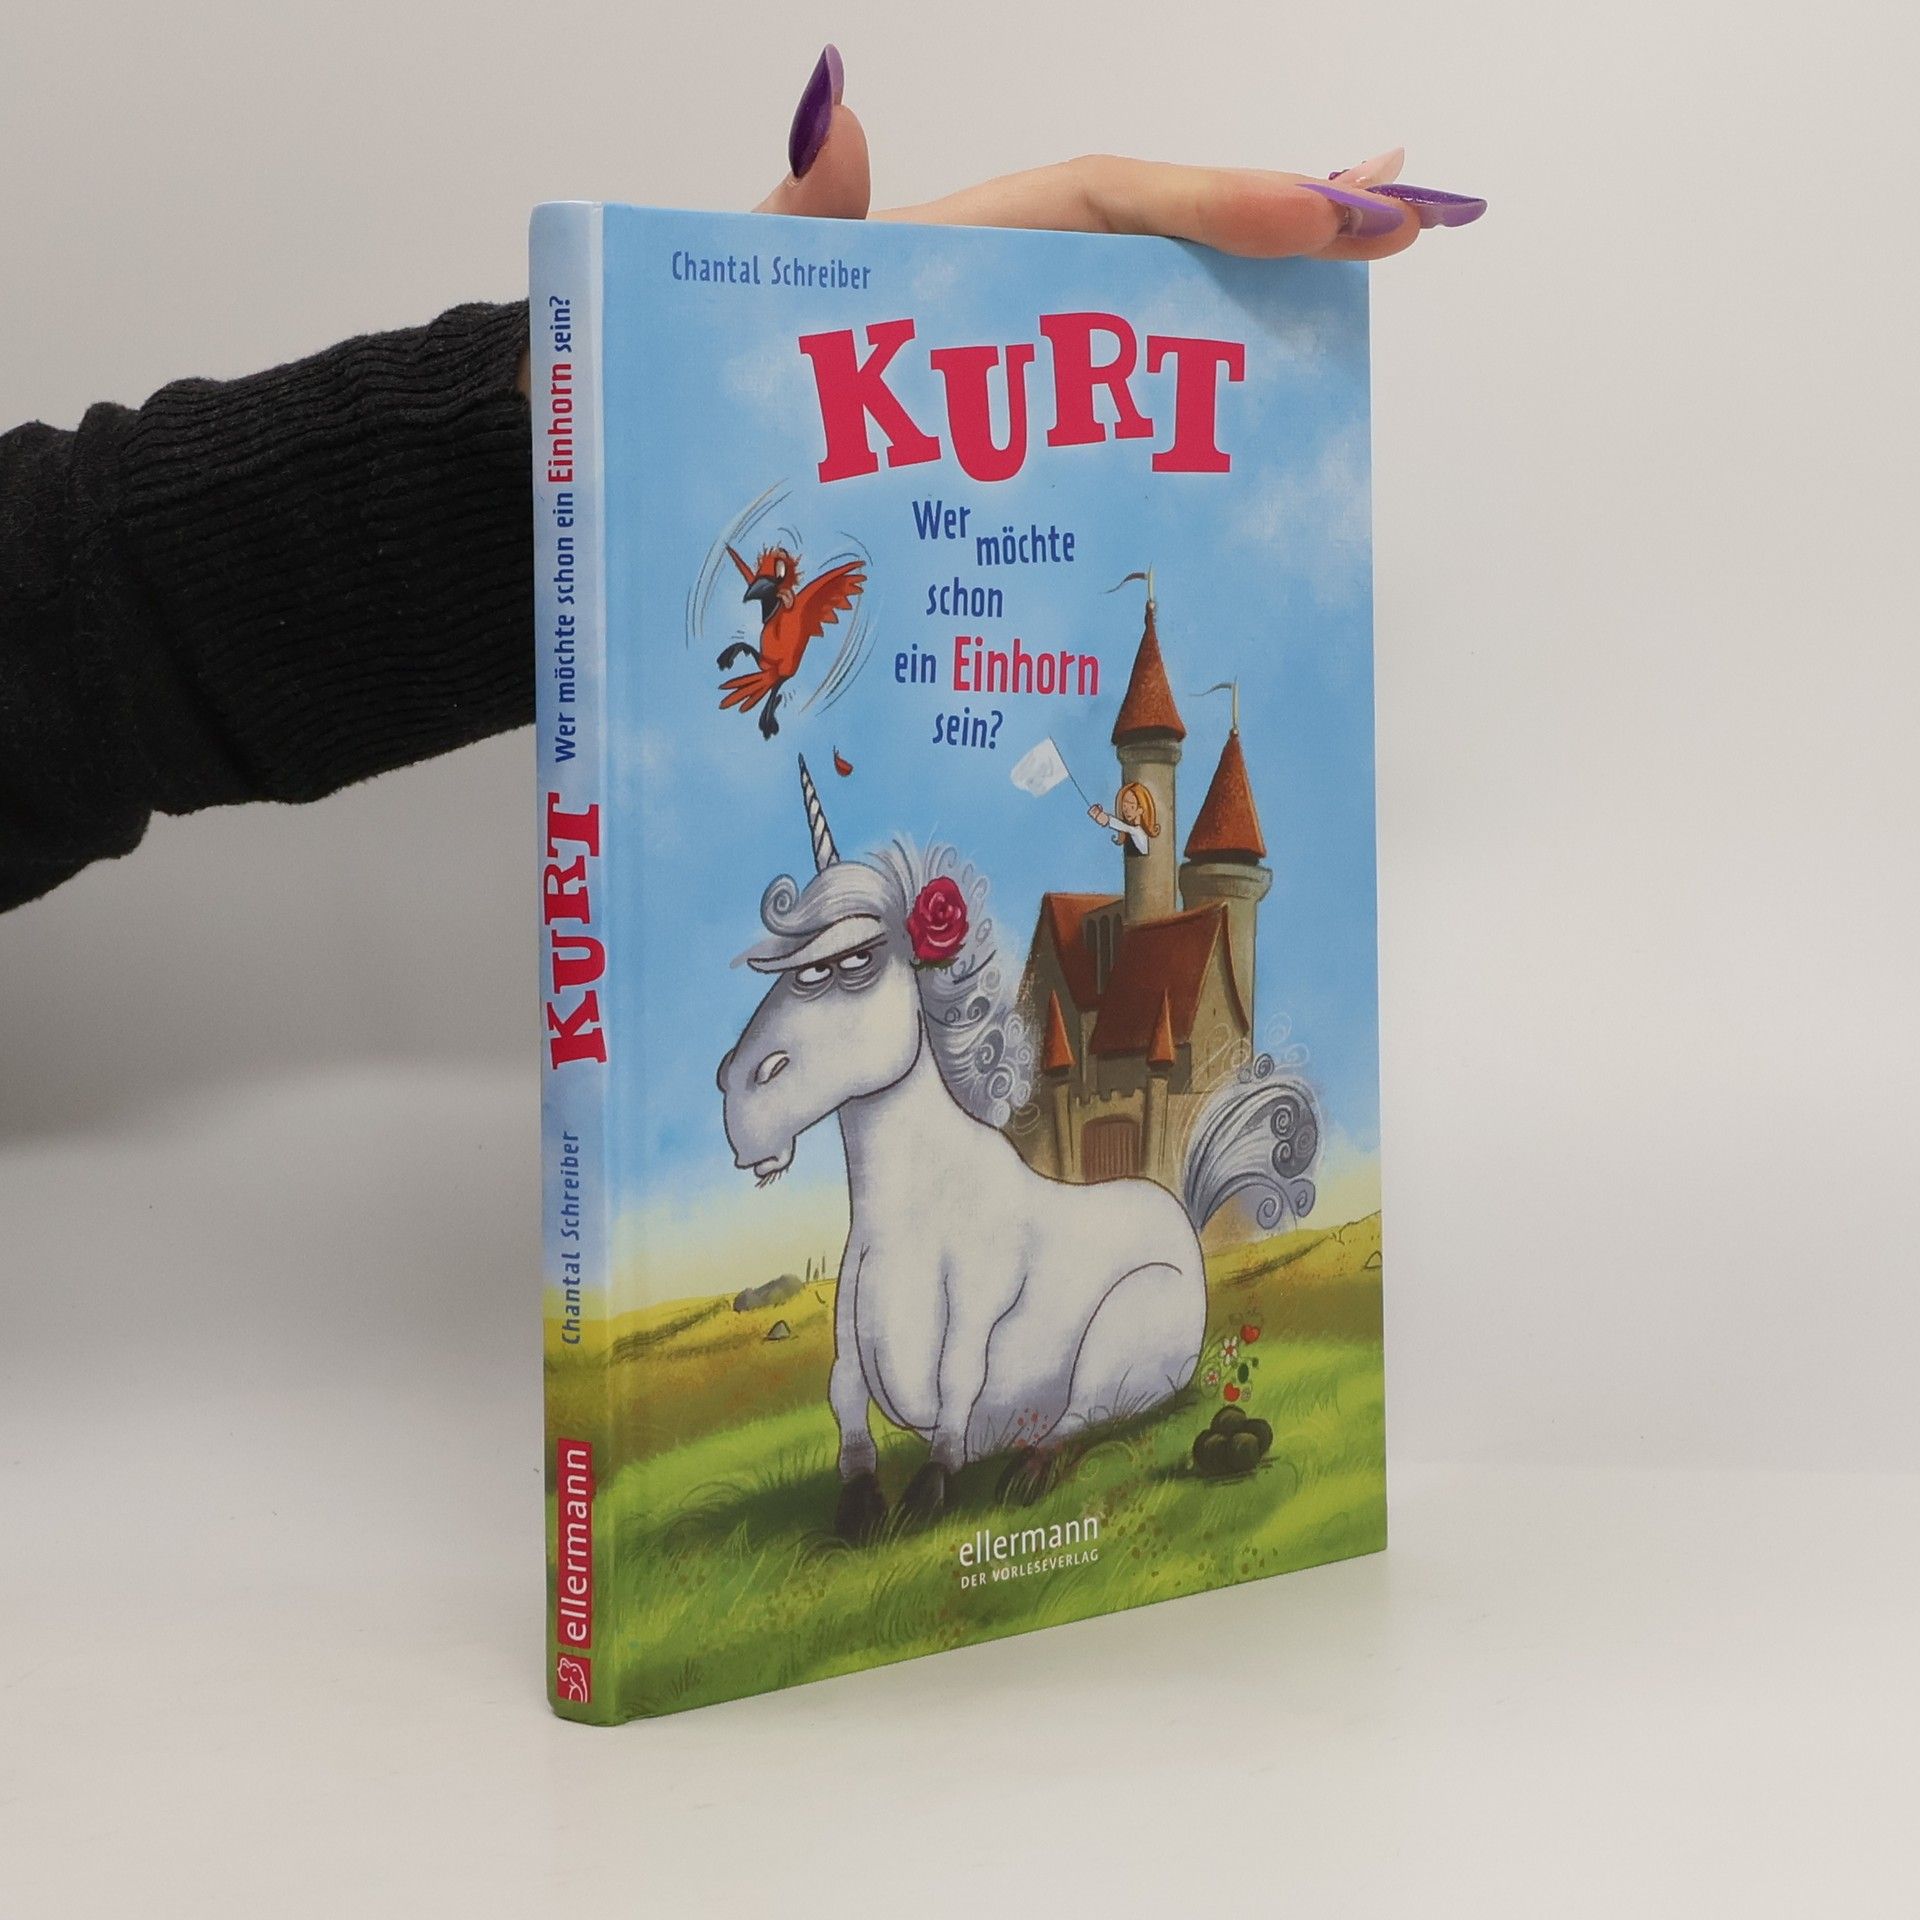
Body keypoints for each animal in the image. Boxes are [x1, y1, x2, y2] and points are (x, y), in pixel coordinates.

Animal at [717, 758, 1321, 1542]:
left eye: (853, 961)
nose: (737, 1098)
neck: (912, 1210)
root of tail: (1177, 1210)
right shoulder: (847, 1333)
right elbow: (845, 1398)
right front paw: (858, 1507)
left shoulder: (978, 1306)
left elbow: (957, 1382)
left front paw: (931, 1489)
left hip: (1129, 1336)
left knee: (1081, 1416)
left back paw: (1029, 1471)